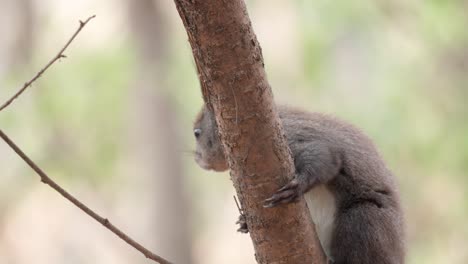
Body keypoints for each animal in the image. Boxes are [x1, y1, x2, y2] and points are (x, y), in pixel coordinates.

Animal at [192, 104, 404, 262]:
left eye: (197, 133)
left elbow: (324, 156)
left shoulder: (290, 136)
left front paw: (298, 186)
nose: (196, 158)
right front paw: (244, 221)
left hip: (365, 221)